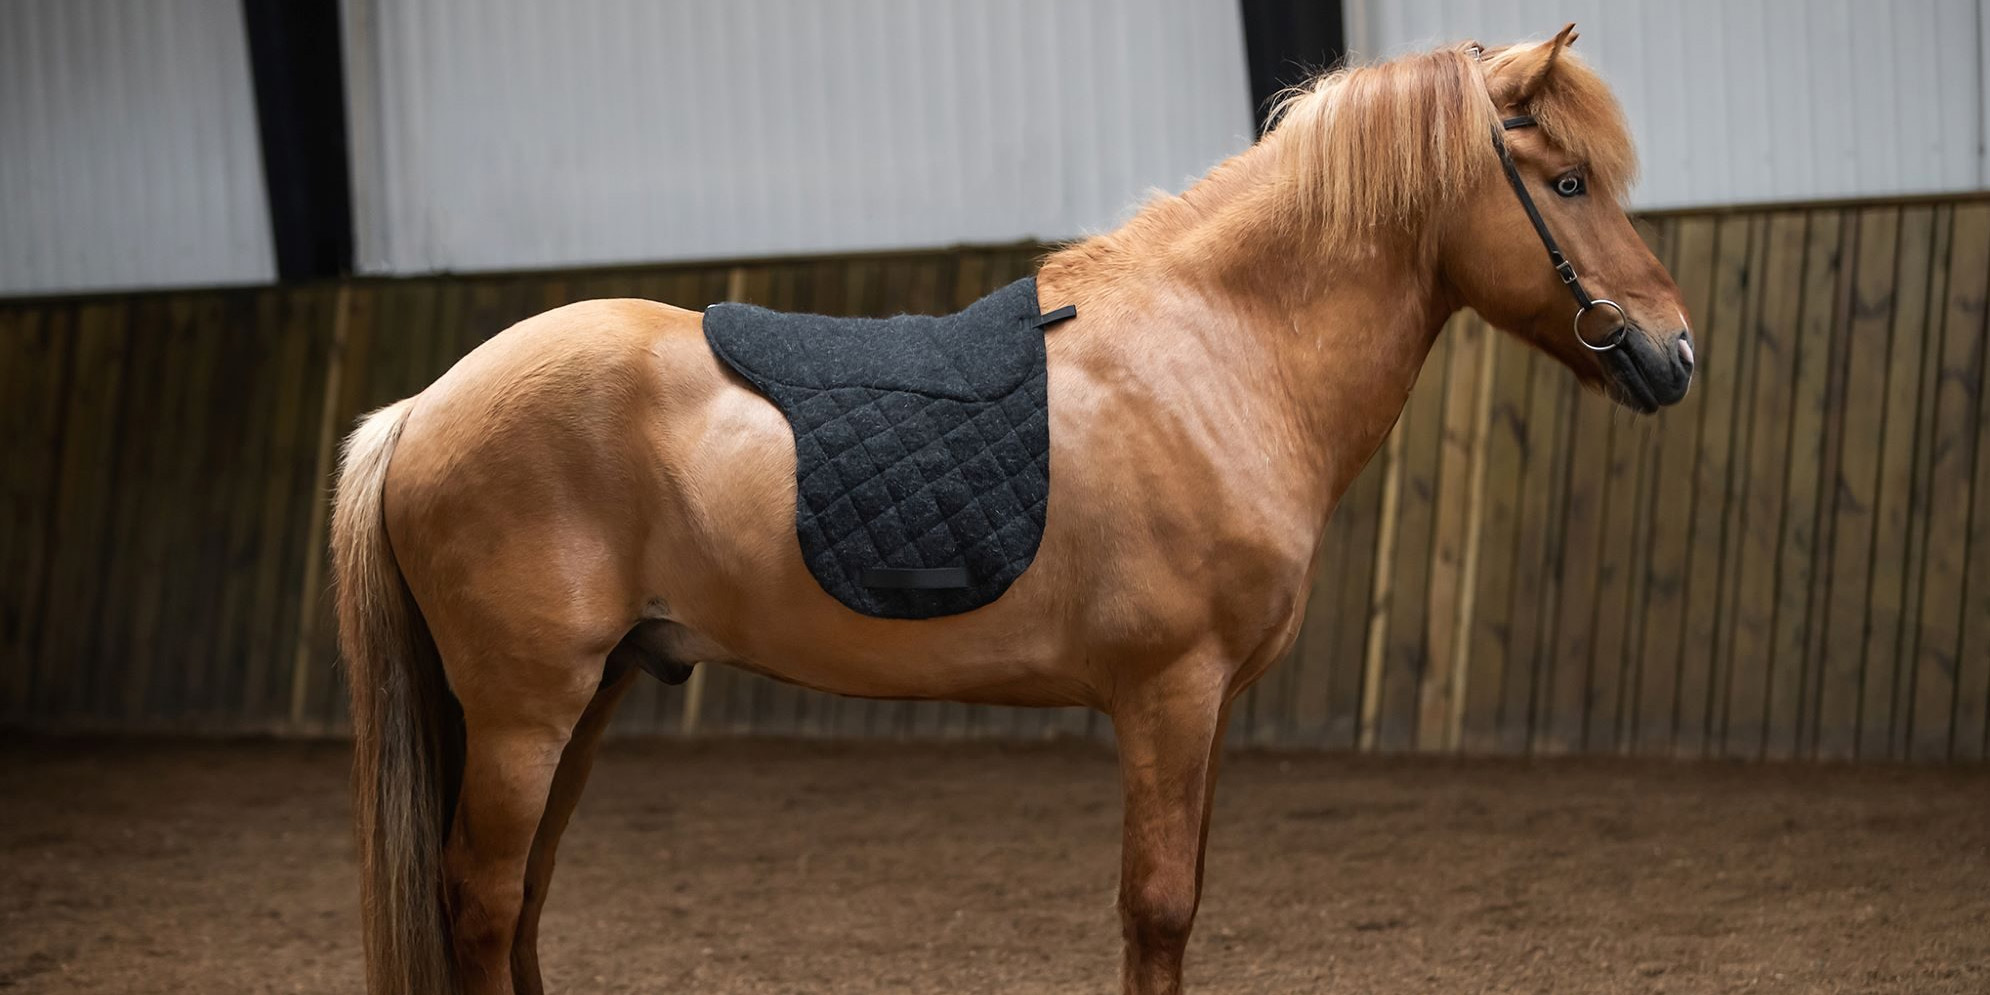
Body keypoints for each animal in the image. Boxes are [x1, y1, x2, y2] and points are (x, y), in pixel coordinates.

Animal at [332, 25, 1694, 995]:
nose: (1674, 351)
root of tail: (422, 405)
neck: (1214, 355)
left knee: (521, 902)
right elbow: (1157, 912)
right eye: (1567, 179)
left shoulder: (1203, 712)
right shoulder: (1167, 694)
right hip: (526, 709)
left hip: (592, 691)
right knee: (484, 900)